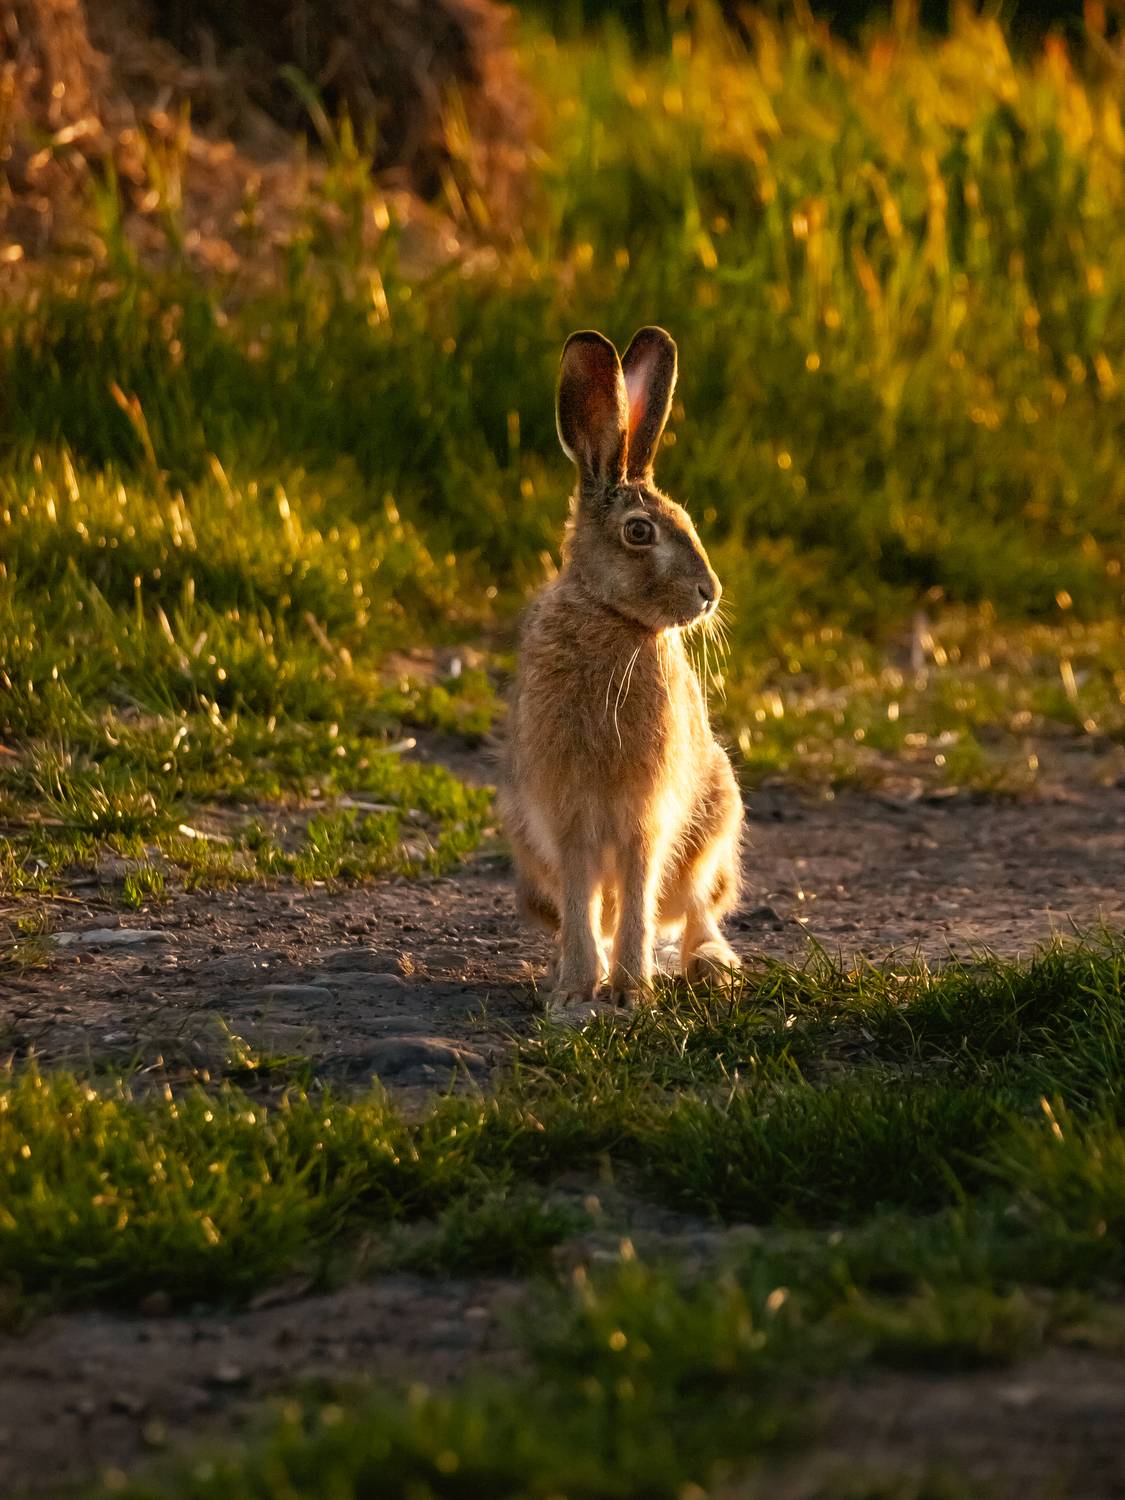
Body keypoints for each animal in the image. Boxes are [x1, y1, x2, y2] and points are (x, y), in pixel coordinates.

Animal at [499, 325, 743, 1019]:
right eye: (640, 532)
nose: (710, 594)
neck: (610, 617)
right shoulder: (569, 821)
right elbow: (586, 904)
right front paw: (576, 992)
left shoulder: (645, 818)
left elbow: (639, 898)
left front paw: (632, 993)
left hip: (714, 829)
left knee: (696, 910)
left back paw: (711, 968)